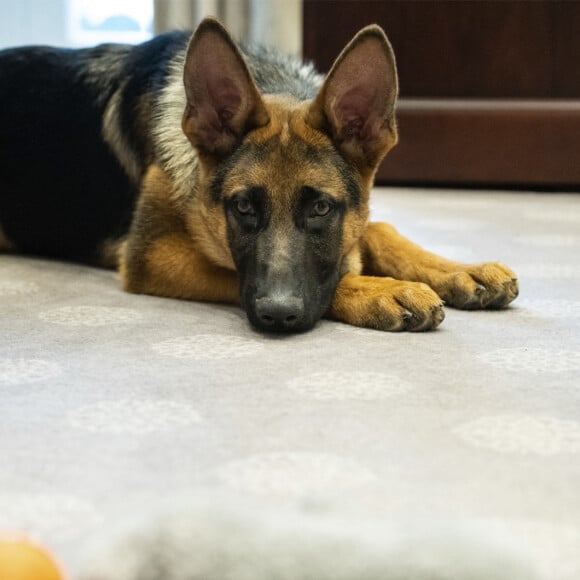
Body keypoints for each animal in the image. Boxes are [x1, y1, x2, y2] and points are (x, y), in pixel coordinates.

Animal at [0, 18, 520, 334]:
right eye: (243, 207)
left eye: (321, 207)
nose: (277, 316)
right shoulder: (152, 255)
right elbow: (245, 271)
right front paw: (377, 289)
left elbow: (380, 230)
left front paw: (456, 268)